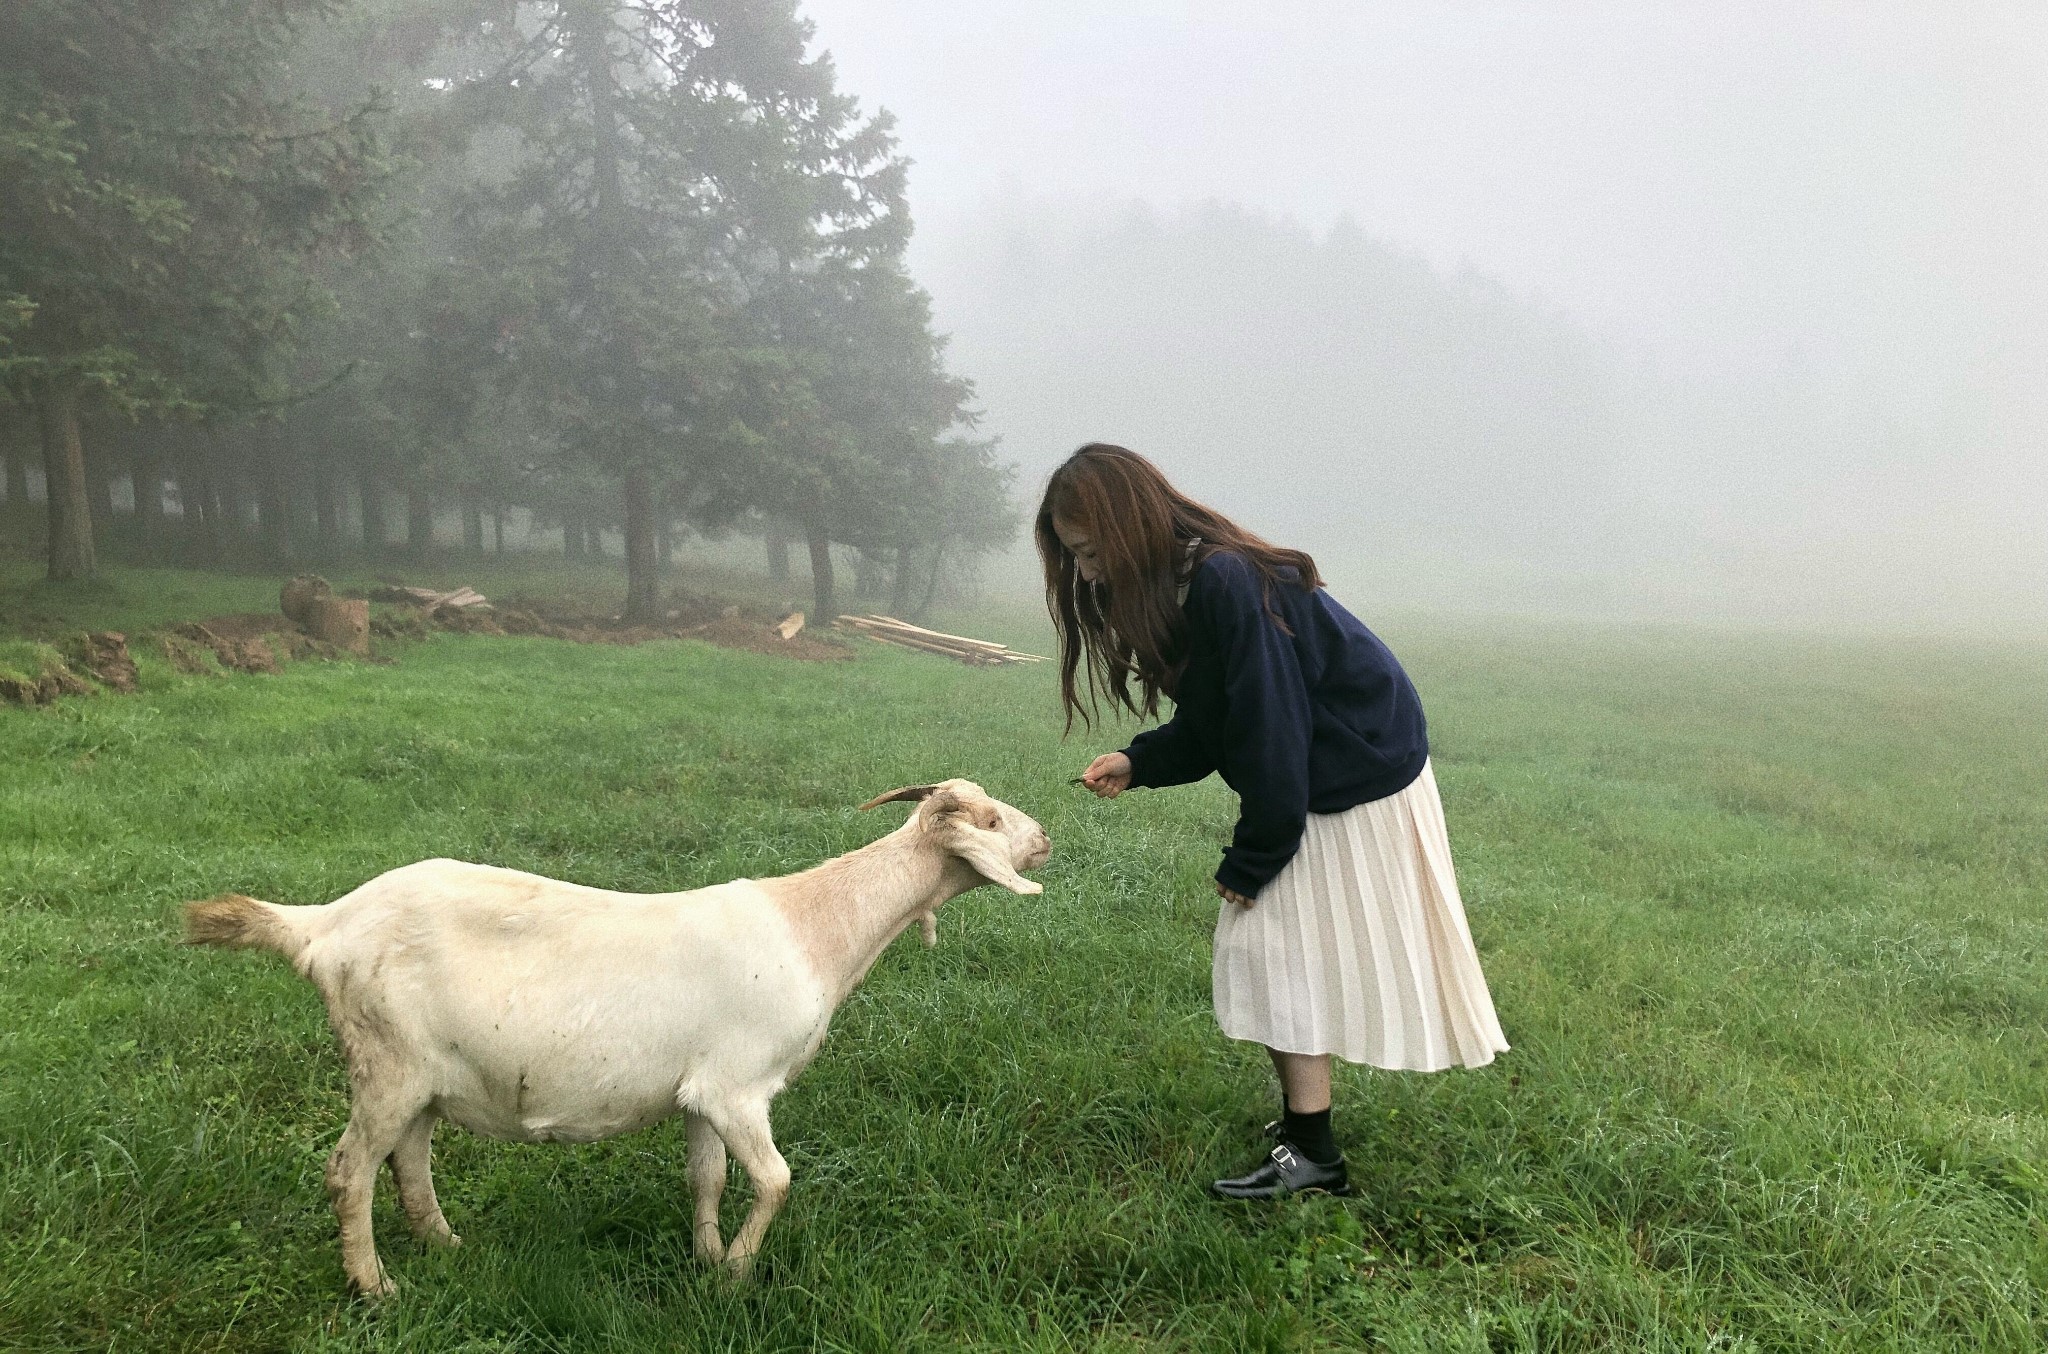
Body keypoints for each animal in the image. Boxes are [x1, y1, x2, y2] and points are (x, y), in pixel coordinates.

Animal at [182, 774, 1048, 1294]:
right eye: (992, 820)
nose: (1044, 838)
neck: (817, 927)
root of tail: (321, 924)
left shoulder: (703, 1090)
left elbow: (709, 1180)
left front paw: (705, 1260)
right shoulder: (741, 1087)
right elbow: (775, 1181)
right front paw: (738, 1272)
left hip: (421, 1076)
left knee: (409, 1162)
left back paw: (446, 1249)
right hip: (383, 1060)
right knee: (348, 1172)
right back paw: (376, 1287)